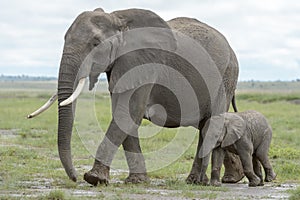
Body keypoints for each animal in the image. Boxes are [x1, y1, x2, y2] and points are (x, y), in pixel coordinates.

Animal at [27, 8, 244, 186]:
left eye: (95, 44)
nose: (73, 178)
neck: (118, 19)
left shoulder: (143, 64)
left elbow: (128, 113)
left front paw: (94, 179)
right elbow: (124, 115)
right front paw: (136, 181)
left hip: (225, 77)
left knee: (212, 125)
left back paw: (203, 182)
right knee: (206, 126)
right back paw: (219, 179)